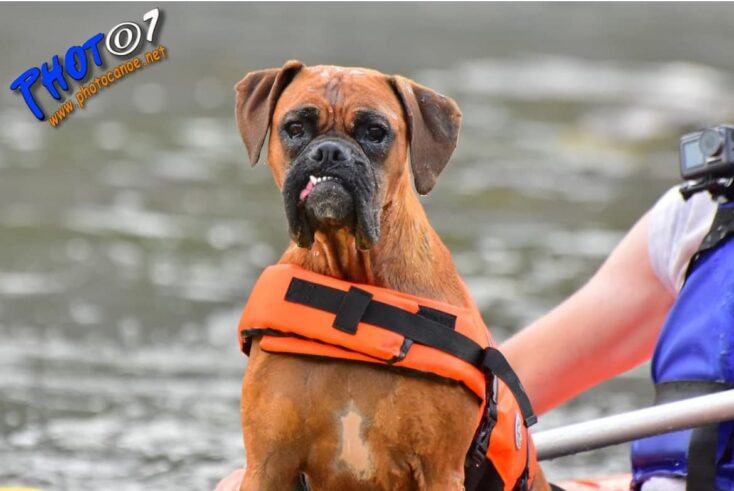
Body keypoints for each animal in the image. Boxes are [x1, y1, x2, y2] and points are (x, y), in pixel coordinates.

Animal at [233, 59, 548, 490]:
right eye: (295, 128)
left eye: (374, 132)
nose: (329, 152)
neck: (353, 282)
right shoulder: (266, 466)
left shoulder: (440, 472)